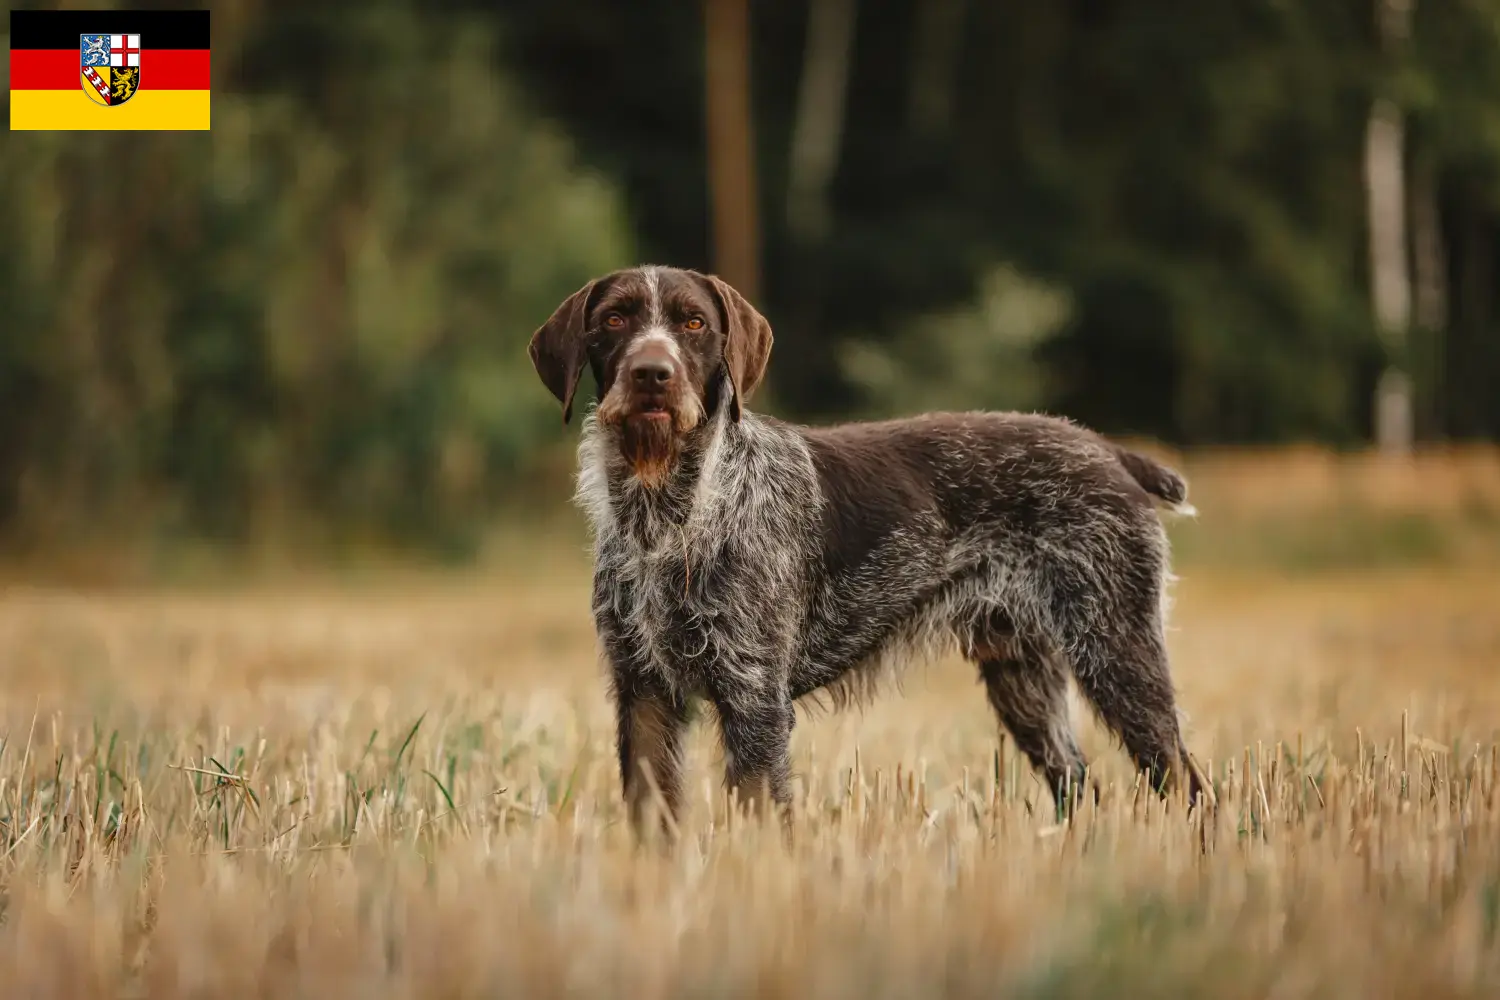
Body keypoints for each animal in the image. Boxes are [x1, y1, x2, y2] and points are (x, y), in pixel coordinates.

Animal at [528, 263, 1206, 827]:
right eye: (614, 319)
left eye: (693, 322)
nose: (652, 375)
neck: (670, 514)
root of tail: (1111, 452)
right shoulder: (644, 695)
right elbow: (651, 821)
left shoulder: (754, 698)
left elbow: (759, 817)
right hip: (1026, 677)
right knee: (1078, 784)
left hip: (1117, 650)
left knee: (1186, 781)